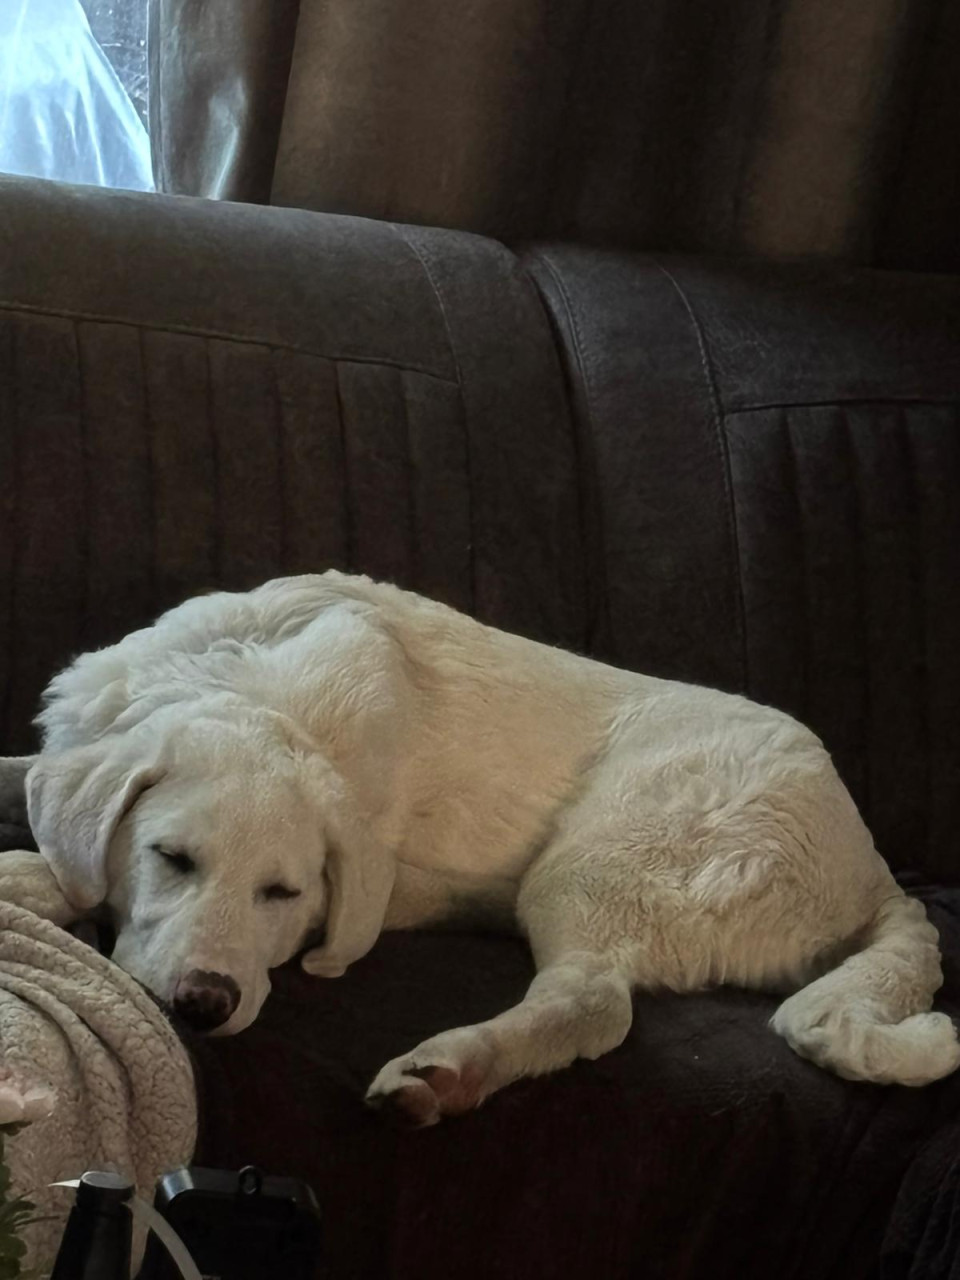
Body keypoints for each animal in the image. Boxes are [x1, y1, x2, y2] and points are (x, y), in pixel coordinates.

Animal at [0, 571, 956, 1124]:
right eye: (171, 858)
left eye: (286, 895)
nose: (204, 1004)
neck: (259, 691)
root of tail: (876, 870)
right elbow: (26, 781)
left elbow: (51, 867)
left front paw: (31, 877)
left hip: (593, 864)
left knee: (594, 1004)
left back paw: (455, 1067)